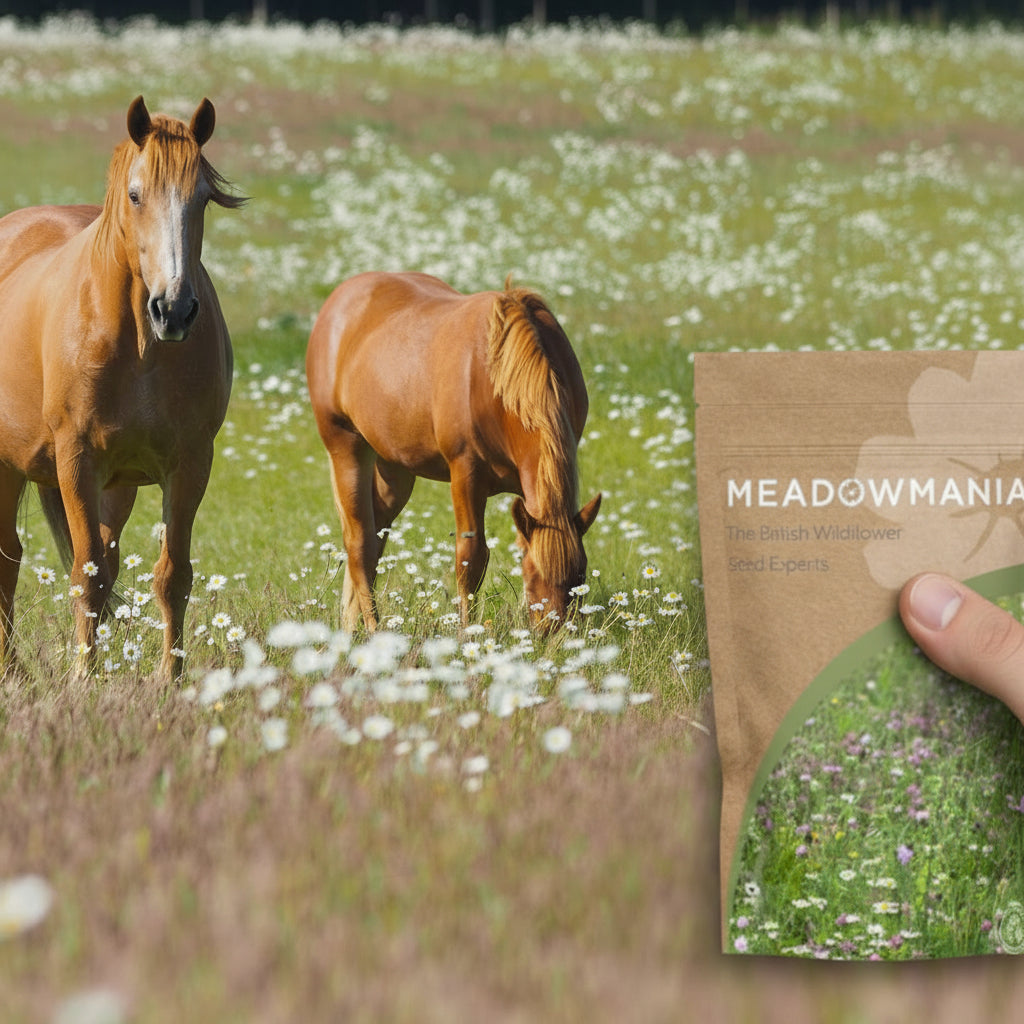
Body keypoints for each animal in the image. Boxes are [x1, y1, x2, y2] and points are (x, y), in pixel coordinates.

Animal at [0, 96, 244, 682]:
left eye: (202, 199)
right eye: (136, 195)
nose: (174, 310)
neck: (139, 345)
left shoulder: (188, 463)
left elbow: (170, 575)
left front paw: (169, 679)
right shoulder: (76, 459)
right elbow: (85, 575)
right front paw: (84, 679)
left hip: (117, 485)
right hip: (9, 467)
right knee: (9, 558)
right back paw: (12, 670)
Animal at [306, 271, 601, 633]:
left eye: (580, 576)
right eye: (533, 575)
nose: (553, 636)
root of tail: (340, 299)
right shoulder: (466, 474)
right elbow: (471, 558)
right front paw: (466, 632)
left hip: (394, 469)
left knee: (376, 537)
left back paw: (350, 627)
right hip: (346, 448)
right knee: (359, 542)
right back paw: (373, 628)